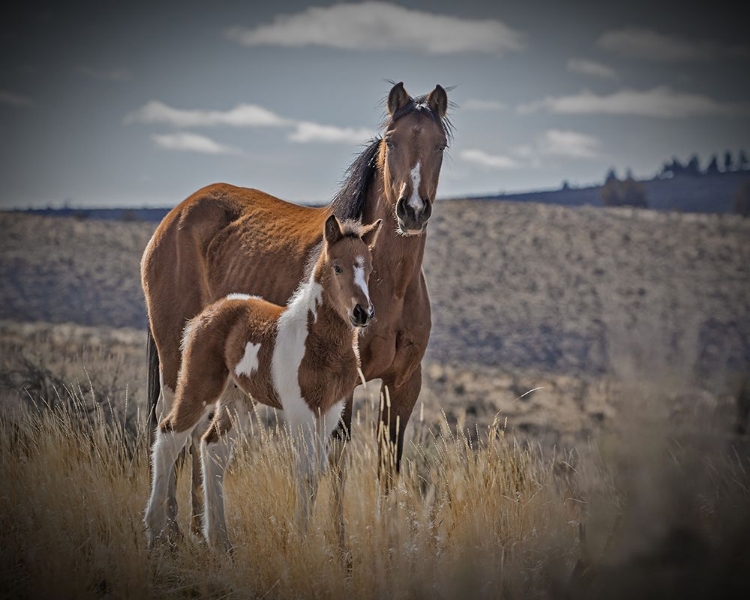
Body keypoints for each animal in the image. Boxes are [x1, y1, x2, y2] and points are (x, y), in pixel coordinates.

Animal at [145, 216, 384, 548]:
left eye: (370, 269)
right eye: (338, 267)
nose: (363, 313)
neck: (318, 341)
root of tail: (205, 315)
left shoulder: (330, 409)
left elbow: (318, 471)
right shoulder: (299, 409)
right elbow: (306, 471)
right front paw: (301, 541)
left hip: (237, 398)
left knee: (213, 447)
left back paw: (219, 540)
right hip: (199, 383)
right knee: (170, 433)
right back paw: (155, 530)